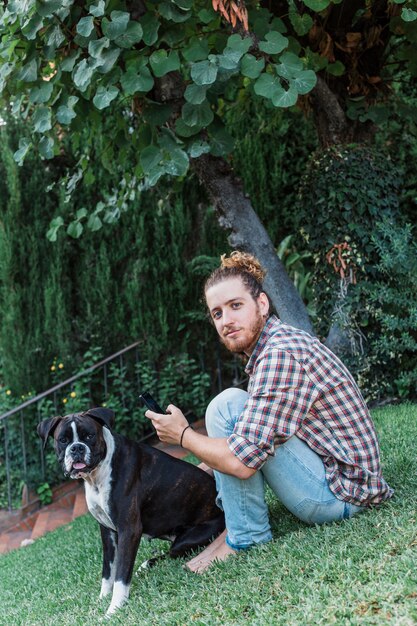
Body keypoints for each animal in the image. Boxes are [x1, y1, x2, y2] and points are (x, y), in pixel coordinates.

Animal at [37, 404, 226, 616]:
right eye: (63, 440)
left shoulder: (129, 530)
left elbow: (121, 574)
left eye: (89, 436)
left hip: (189, 539)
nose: (77, 448)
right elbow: (108, 570)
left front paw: (113, 609)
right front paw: (102, 598)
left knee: (173, 553)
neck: (97, 474)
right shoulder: (107, 532)